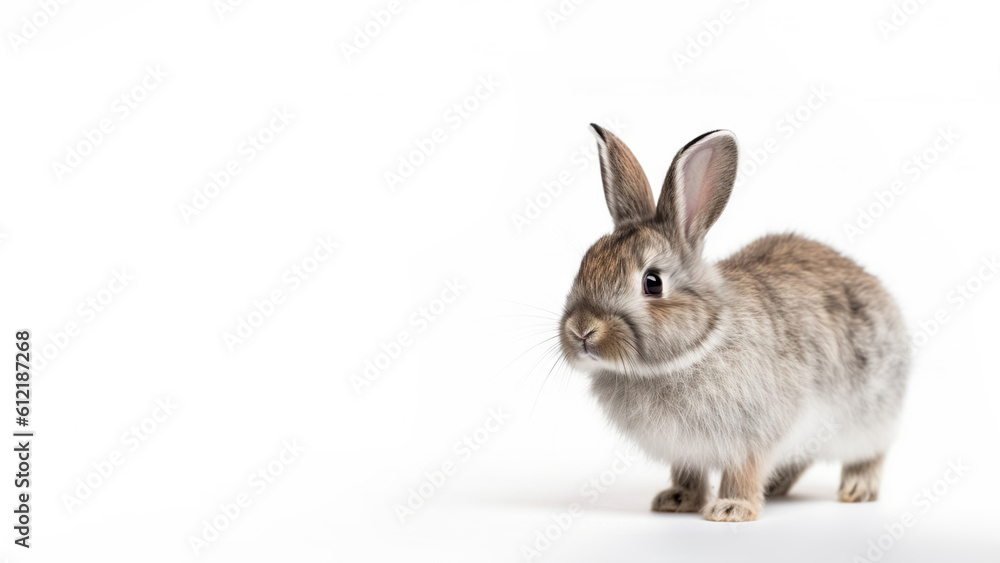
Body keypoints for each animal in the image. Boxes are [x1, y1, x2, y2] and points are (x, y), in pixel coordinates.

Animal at [558, 125, 910, 522]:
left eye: (653, 282)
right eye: (585, 264)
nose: (581, 329)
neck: (696, 348)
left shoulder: (753, 435)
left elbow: (743, 471)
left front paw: (731, 509)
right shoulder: (687, 450)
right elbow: (689, 473)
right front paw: (678, 500)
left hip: (869, 415)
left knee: (870, 454)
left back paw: (856, 489)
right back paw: (776, 486)